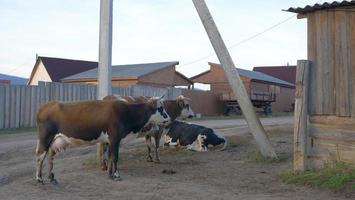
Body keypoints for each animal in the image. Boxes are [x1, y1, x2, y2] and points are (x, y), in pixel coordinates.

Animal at [34, 96, 171, 184]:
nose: (168, 118)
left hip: (54, 141)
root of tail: (45, 106)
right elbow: (115, 157)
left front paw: (110, 174)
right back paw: (39, 179)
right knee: (40, 157)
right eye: (160, 108)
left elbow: (109, 157)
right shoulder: (115, 138)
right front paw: (116, 175)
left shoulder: (109, 141)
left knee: (50, 157)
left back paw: (51, 177)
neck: (127, 113)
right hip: (45, 138)